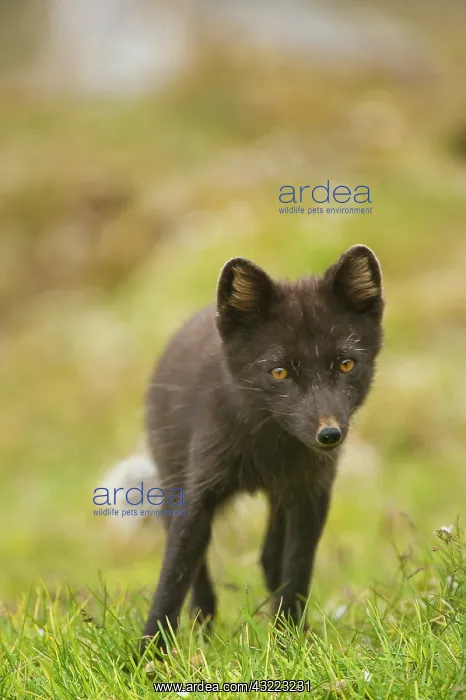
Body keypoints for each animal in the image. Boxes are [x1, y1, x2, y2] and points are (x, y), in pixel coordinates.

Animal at [139, 244, 384, 654]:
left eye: (346, 364)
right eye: (279, 372)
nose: (329, 435)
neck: (269, 448)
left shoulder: (311, 494)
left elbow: (296, 570)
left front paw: (290, 643)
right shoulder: (199, 491)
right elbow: (174, 575)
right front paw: (147, 654)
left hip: (282, 498)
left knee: (270, 558)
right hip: (173, 480)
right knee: (198, 567)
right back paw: (204, 630)